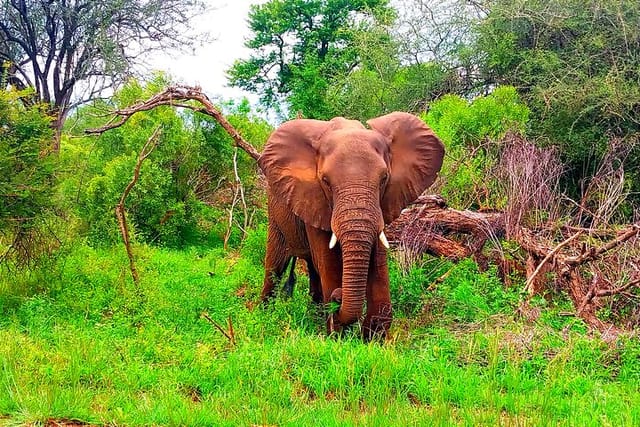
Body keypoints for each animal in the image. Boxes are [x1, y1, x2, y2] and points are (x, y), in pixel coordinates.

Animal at [258, 111, 442, 342]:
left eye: (384, 178)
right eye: (325, 181)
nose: (338, 297)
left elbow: (377, 262)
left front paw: (372, 341)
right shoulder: (314, 200)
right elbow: (329, 263)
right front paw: (338, 338)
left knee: (312, 270)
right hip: (275, 215)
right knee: (275, 268)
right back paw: (264, 315)